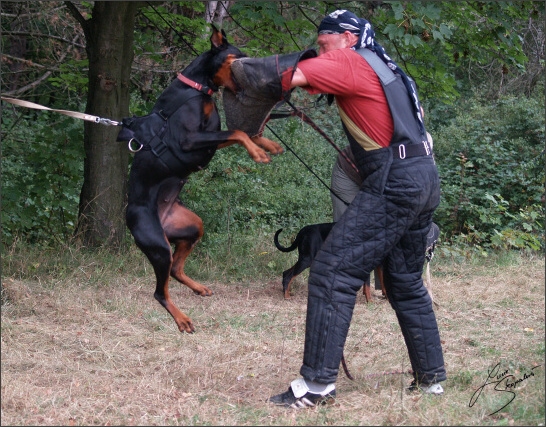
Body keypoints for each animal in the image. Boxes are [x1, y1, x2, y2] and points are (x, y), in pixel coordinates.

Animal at [121, 25, 282, 334]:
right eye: (236, 57)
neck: (195, 89)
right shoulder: (188, 141)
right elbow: (238, 132)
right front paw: (257, 152)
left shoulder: (208, 140)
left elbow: (241, 133)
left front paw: (266, 145)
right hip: (158, 246)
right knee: (159, 292)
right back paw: (182, 319)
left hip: (191, 227)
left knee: (175, 269)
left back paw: (198, 288)